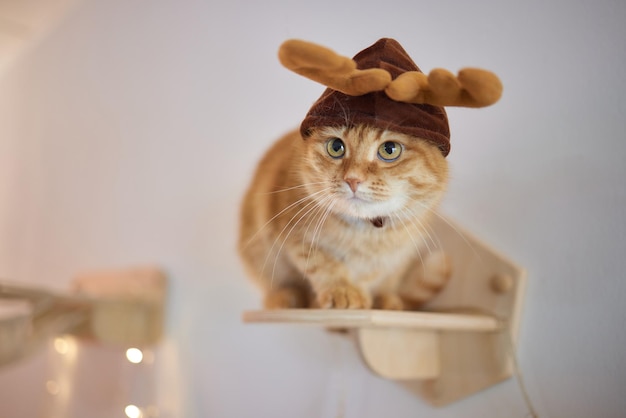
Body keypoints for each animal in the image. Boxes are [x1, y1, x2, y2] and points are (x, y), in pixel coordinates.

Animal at [238, 125, 448, 310]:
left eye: (389, 149)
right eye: (336, 146)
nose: (353, 179)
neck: (363, 234)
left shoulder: (390, 257)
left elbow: (370, 275)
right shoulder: (295, 235)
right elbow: (323, 265)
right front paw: (342, 291)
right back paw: (286, 298)